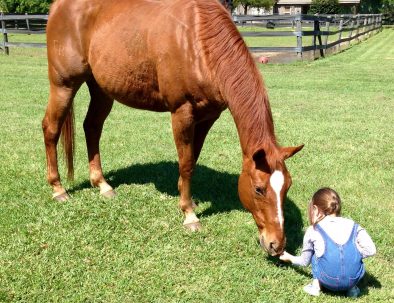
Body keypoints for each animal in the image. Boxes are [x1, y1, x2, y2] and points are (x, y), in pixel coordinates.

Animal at [42, 0, 302, 256]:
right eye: (258, 189)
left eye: (287, 186)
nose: (277, 245)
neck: (198, 42)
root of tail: (58, 6)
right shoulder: (182, 113)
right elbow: (186, 164)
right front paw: (189, 215)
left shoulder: (208, 117)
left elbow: (193, 159)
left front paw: (190, 201)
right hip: (64, 85)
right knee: (51, 129)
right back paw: (58, 189)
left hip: (101, 89)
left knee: (92, 127)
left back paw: (102, 184)